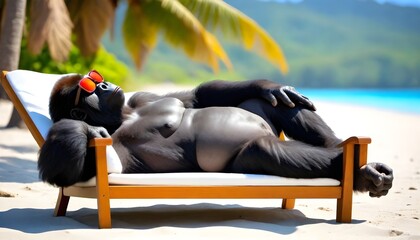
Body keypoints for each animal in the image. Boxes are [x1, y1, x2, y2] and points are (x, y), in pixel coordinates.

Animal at [37, 69, 392, 197]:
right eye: (89, 88)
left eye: (95, 80)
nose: (105, 85)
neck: (123, 116)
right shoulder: (117, 151)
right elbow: (67, 169)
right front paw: (85, 128)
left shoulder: (140, 98)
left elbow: (195, 98)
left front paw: (271, 86)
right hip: (245, 157)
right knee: (265, 149)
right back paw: (361, 171)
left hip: (264, 117)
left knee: (274, 104)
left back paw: (346, 146)